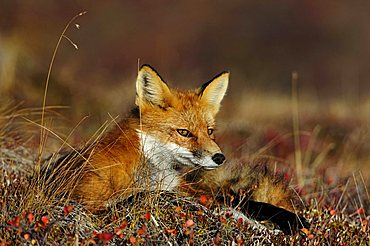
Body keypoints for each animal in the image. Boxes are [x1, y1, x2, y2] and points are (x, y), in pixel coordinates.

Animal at [43, 64, 310, 235]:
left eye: (209, 131)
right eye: (184, 132)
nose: (220, 157)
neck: (151, 170)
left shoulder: (186, 188)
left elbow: (240, 202)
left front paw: (292, 220)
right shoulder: (85, 204)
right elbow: (149, 196)